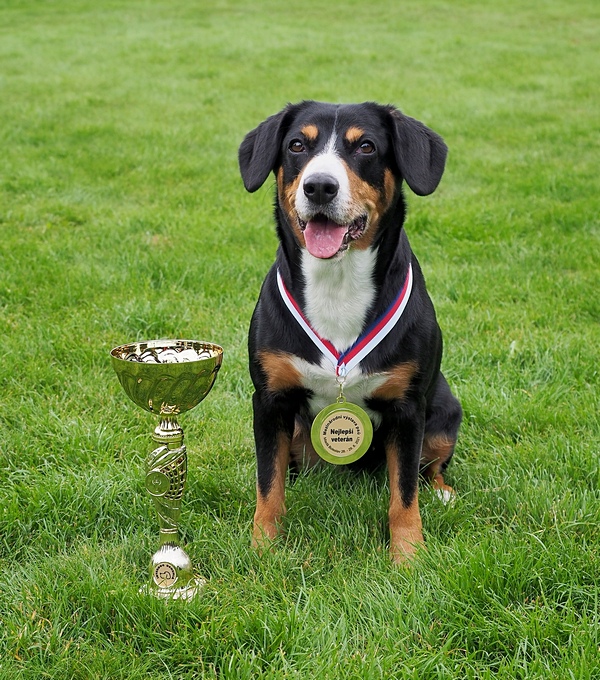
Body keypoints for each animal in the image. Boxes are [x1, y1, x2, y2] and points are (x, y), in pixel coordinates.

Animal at [238, 101, 462, 563]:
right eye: (297, 145)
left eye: (366, 146)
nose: (319, 187)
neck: (337, 283)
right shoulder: (269, 401)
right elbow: (268, 484)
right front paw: (263, 548)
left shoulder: (408, 409)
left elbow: (404, 493)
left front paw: (408, 556)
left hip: (444, 411)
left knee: (429, 468)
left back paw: (443, 492)